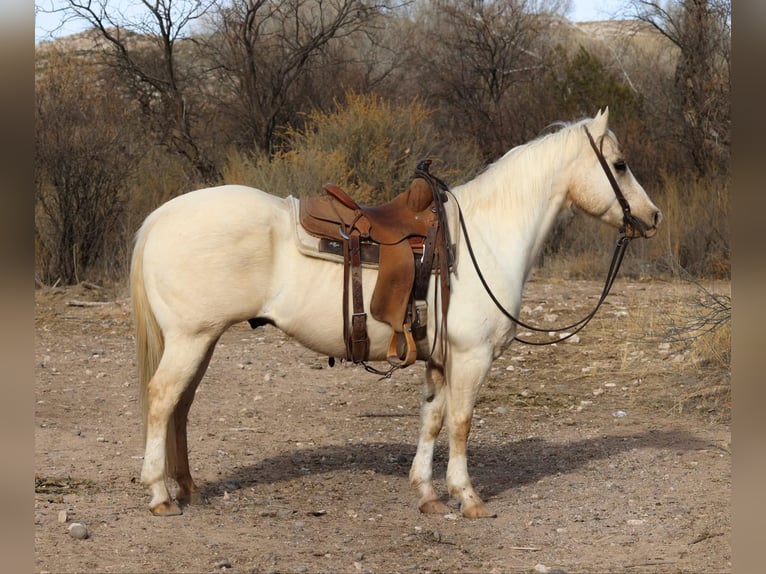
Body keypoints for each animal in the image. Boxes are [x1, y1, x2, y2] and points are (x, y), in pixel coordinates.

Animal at [131, 108, 661, 519]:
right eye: (620, 164)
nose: (651, 216)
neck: (484, 237)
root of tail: (159, 218)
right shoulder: (473, 357)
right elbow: (461, 422)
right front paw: (467, 497)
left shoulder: (440, 359)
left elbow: (432, 419)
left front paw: (427, 494)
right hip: (191, 339)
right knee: (161, 400)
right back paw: (160, 494)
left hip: (201, 341)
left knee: (180, 407)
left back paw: (187, 487)